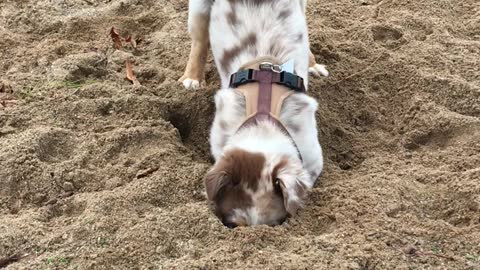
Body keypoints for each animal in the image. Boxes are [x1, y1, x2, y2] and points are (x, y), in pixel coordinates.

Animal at [178, 0, 328, 227]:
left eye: (274, 224)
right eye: (232, 224)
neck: (263, 120)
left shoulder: (311, 156)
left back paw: (313, 65)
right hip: (198, 9)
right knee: (199, 40)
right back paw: (192, 78)